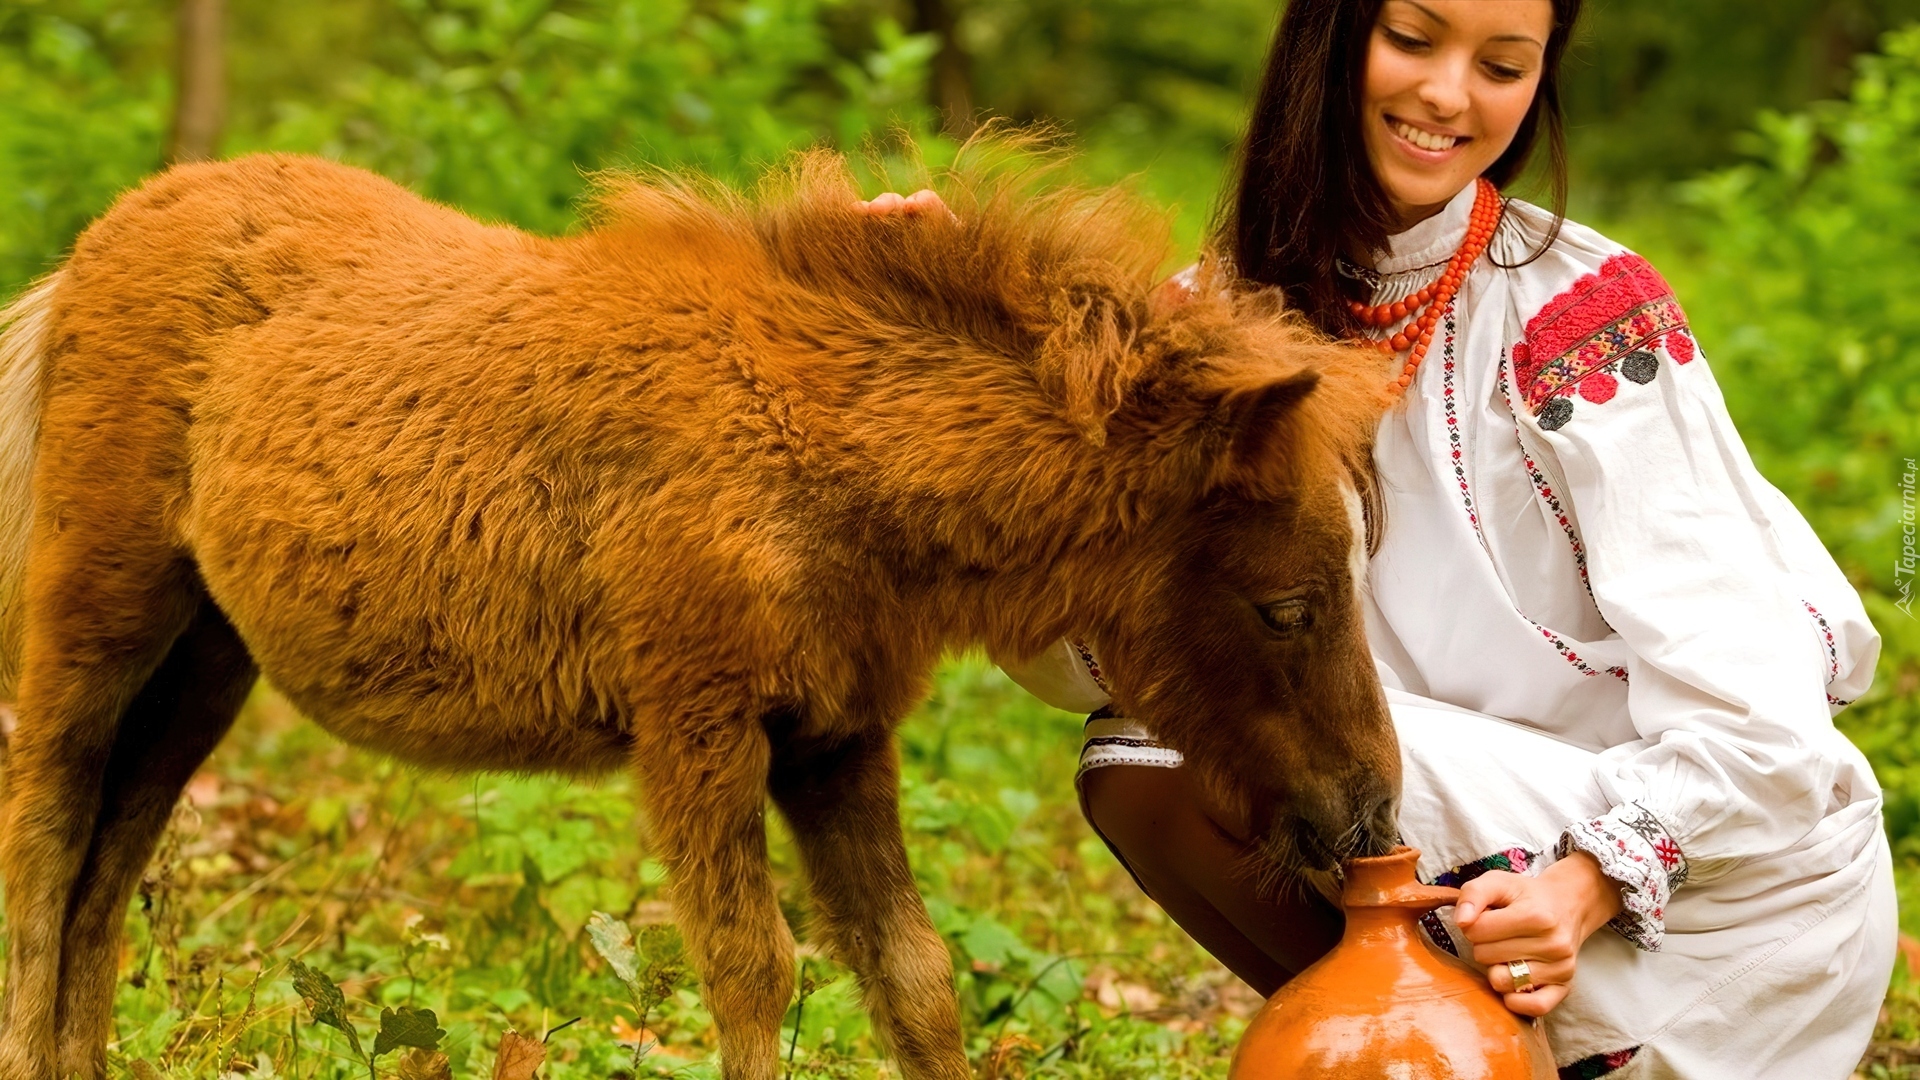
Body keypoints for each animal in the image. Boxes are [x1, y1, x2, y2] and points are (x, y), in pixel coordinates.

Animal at [0, 145, 1397, 1076]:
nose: (1367, 812)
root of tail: (91, 248)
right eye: (1286, 605)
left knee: (108, 866)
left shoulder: (838, 736)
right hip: (98, 608)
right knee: (45, 833)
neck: (827, 461)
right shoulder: (697, 726)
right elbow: (753, 967)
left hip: (207, 655)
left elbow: (915, 973)